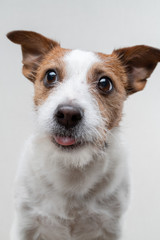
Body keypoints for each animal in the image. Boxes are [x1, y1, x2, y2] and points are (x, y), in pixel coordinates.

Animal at [6, 30, 160, 240]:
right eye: (50, 76)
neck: (72, 168)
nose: (68, 115)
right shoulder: (25, 224)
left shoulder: (111, 227)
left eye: (105, 83)